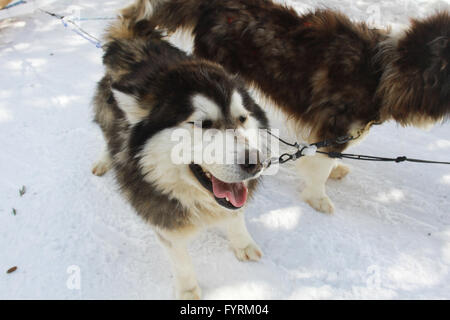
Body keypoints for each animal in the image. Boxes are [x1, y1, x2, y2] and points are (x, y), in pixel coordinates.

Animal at [91, 2, 268, 298]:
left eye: (243, 118)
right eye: (203, 124)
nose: (256, 163)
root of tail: (134, 40)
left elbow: (235, 217)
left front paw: (242, 243)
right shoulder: (163, 224)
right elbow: (181, 260)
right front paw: (187, 290)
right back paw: (105, 160)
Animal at [124, 0, 450, 215]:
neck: (381, 72)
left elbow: (325, 157)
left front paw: (335, 170)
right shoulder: (333, 124)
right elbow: (320, 165)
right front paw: (318, 197)